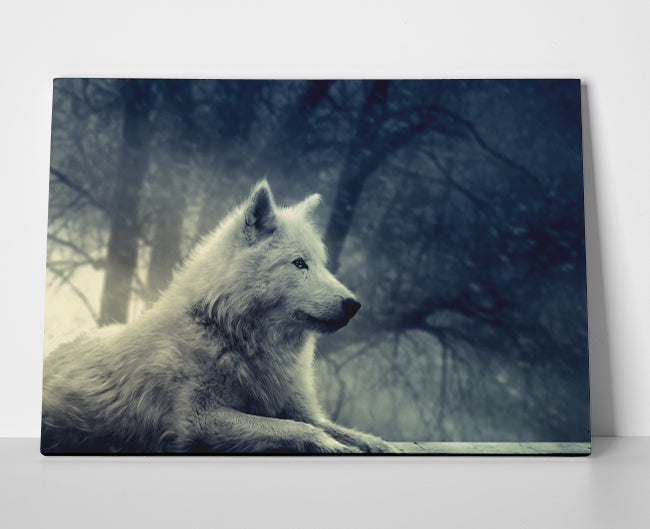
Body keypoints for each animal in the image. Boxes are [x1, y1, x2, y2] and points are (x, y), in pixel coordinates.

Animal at [41, 181, 397, 454]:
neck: (227, 332)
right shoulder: (200, 420)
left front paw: (378, 444)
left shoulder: (301, 409)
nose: (354, 304)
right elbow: (297, 429)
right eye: (299, 263)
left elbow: (338, 429)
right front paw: (335, 446)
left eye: (322, 264)